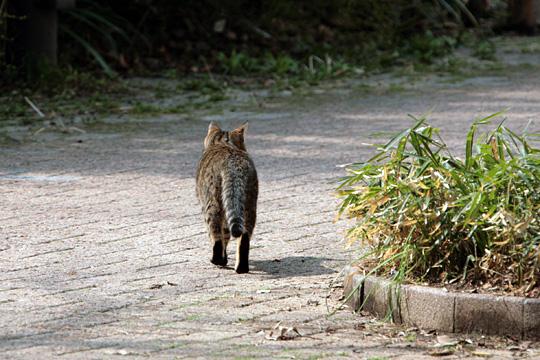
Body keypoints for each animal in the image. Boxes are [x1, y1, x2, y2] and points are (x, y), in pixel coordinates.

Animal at [196, 122, 260, 274]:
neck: (224, 143)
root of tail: (233, 163)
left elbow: (220, 237)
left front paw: (222, 260)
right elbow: (227, 235)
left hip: (212, 203)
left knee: (215, 234)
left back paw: (216, 260)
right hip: (249, 204)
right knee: (244, 238)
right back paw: (241, 267)